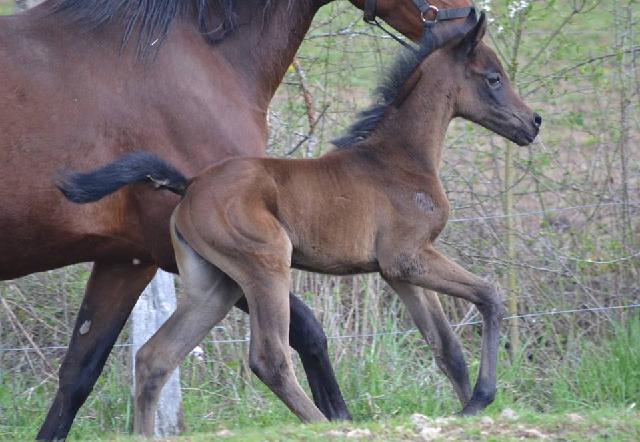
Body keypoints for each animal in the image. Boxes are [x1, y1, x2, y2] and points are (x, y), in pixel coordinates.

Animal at [0, 0, 470, 436]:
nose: (469, 19)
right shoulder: (198, 254)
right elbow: (308, 331)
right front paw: (336, 417)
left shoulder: (127, 259)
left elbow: (78, 374)